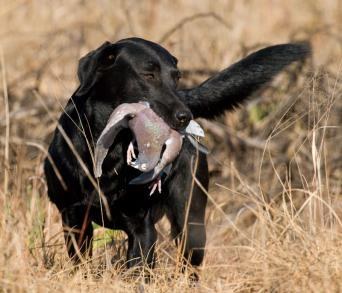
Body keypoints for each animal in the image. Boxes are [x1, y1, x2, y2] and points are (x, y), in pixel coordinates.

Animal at [43, 38, 310, 272]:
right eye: (148, 75)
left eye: (176, 77)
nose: (185, 116)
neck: (113, 151)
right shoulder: (74, 217)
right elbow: (81, 264)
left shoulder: (142, 228)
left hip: (190, 223)